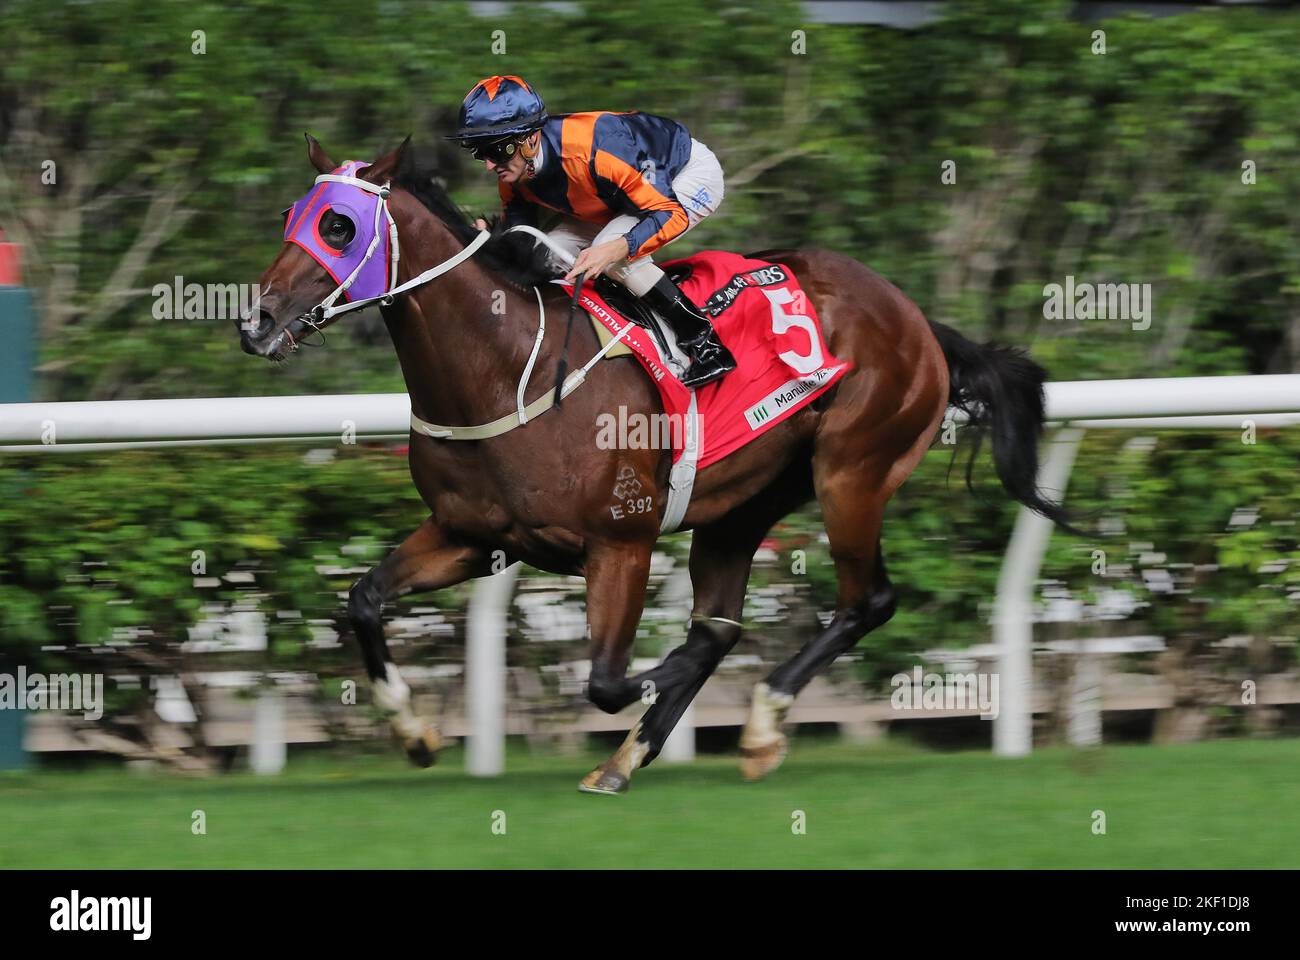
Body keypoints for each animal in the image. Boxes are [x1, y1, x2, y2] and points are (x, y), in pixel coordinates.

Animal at [239, 136, 1071, 790]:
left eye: (339, 226)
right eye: (289, 219)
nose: (257, 323)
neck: (505, 366)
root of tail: (914, 316)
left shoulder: (623, 541)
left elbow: (608, 681)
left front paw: (652, 687)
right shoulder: (474, 537)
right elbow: (364, 599)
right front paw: (413, 733)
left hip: (854, 470)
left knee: (863, 603)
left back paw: (760, 723)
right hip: (745, 505)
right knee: (723, 624)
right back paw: (630, 758)